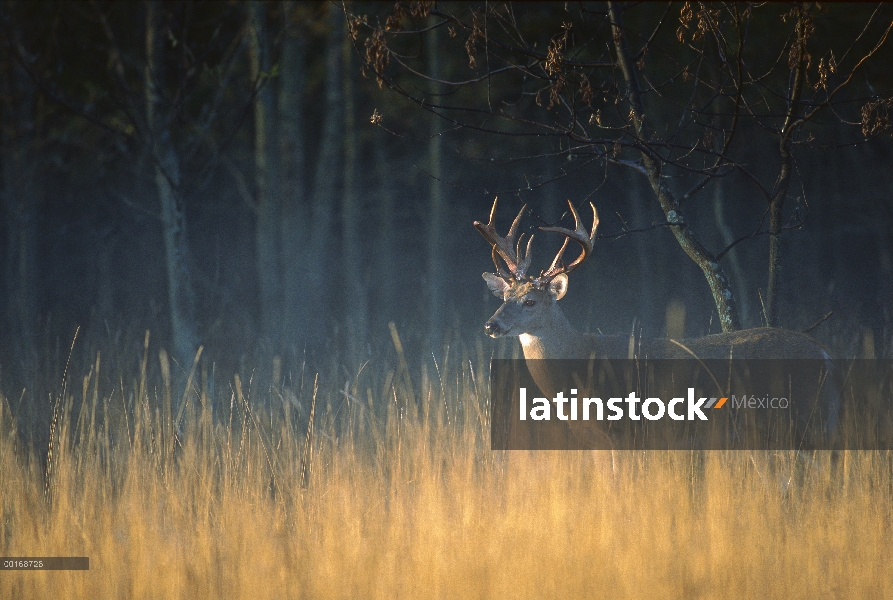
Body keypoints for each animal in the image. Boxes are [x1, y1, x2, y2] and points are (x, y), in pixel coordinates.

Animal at [474, 198, 836, 440]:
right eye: (504, 297)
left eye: (530, 301)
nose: (490, 325)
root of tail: (823, 352)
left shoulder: (624, 428)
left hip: (799, 415)